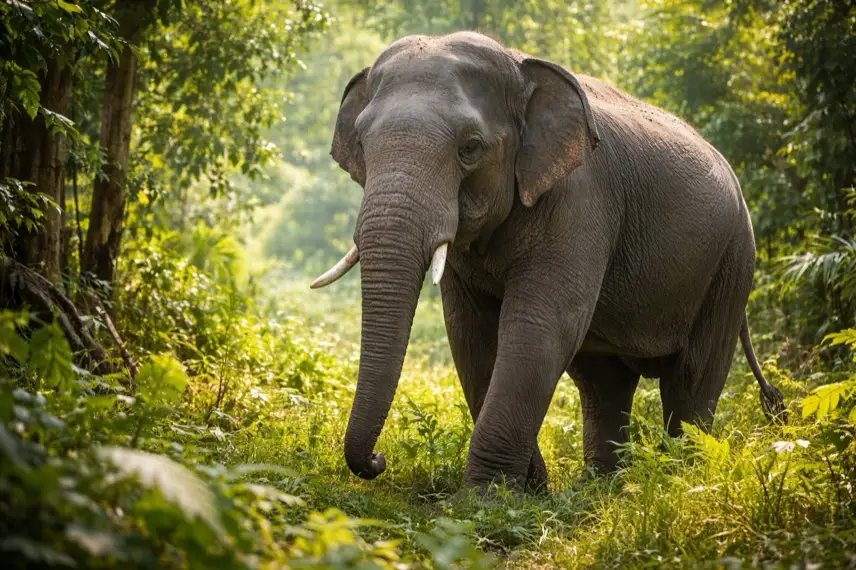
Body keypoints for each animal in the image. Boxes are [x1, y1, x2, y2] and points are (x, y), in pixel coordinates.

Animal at [310, 31, 786, 492]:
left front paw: (485, 497)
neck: (518, 66)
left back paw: (678, 480)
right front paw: (527, 491)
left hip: (732, 262)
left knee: (691, 378)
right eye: (362, 144)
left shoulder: (581, 200)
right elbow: (470, 334)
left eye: (470, 147)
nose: (377, 460)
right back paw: (600, 489)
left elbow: (540, 325)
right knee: (603, 382)